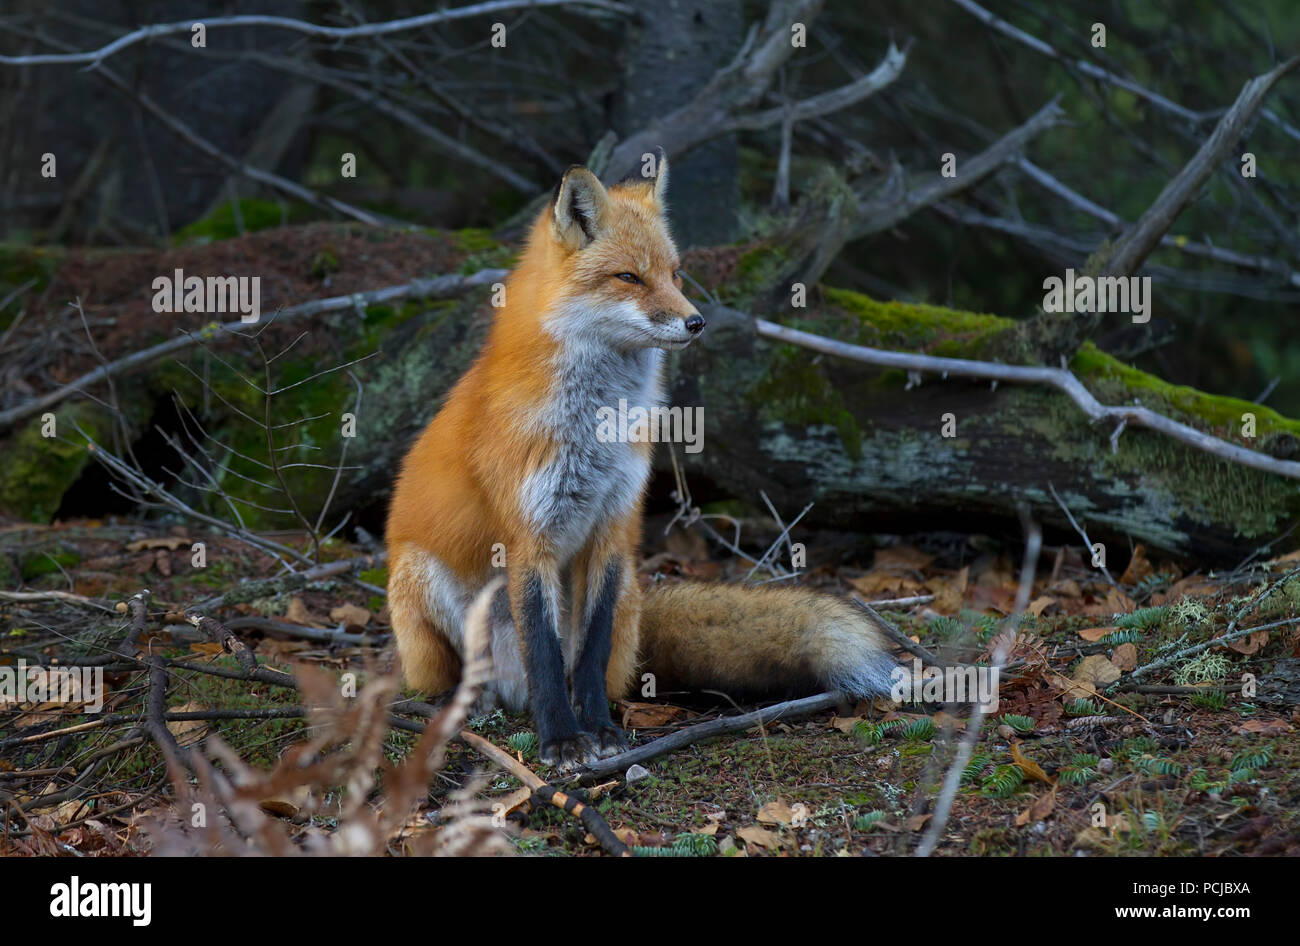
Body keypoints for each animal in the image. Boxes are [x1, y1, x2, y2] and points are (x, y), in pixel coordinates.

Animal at [386, 152, 897, 768]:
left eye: (675, 274)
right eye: (629, 277)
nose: (697, 322)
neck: (594, 428)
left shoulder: (614, 523)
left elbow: (588, 650)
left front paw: (598, 730)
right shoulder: (530, 537)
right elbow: (545, 654)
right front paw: (560, 739)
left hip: (629, 590)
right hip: (421, 584)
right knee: (462, 679)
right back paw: (463, 707)